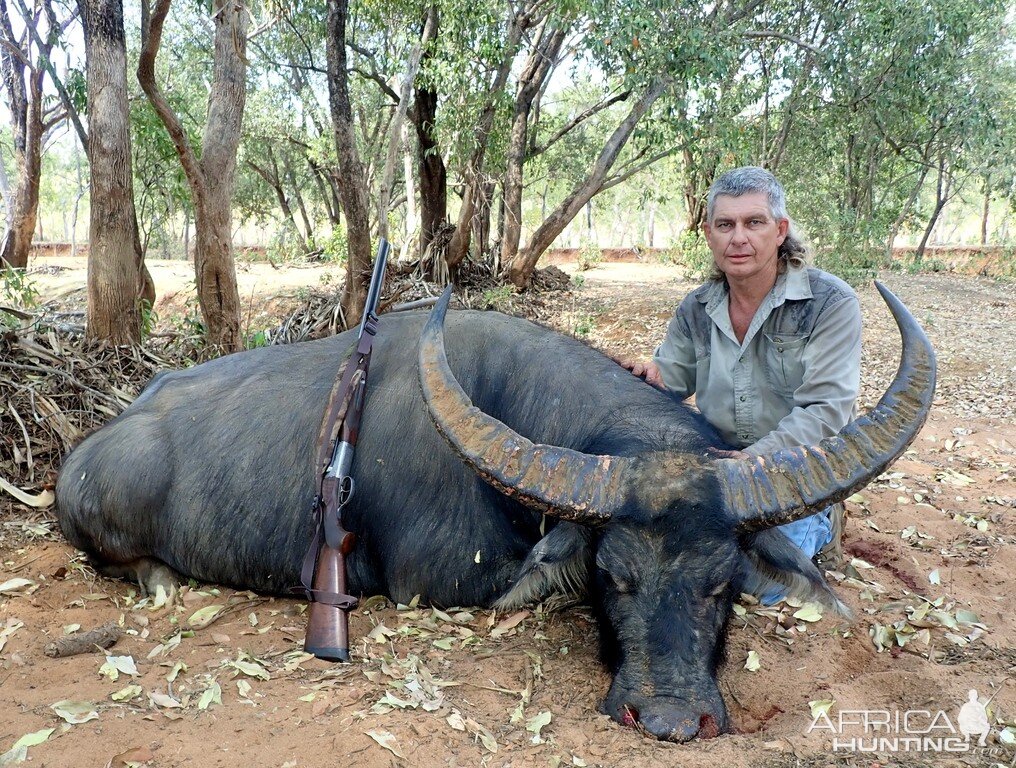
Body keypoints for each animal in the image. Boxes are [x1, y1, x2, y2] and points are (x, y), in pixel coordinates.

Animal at [53, 284, 930, 743]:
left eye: (722, 583)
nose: (671, 719)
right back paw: (160, 581)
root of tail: (86, 452)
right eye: (614, 576)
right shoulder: (441, 583)